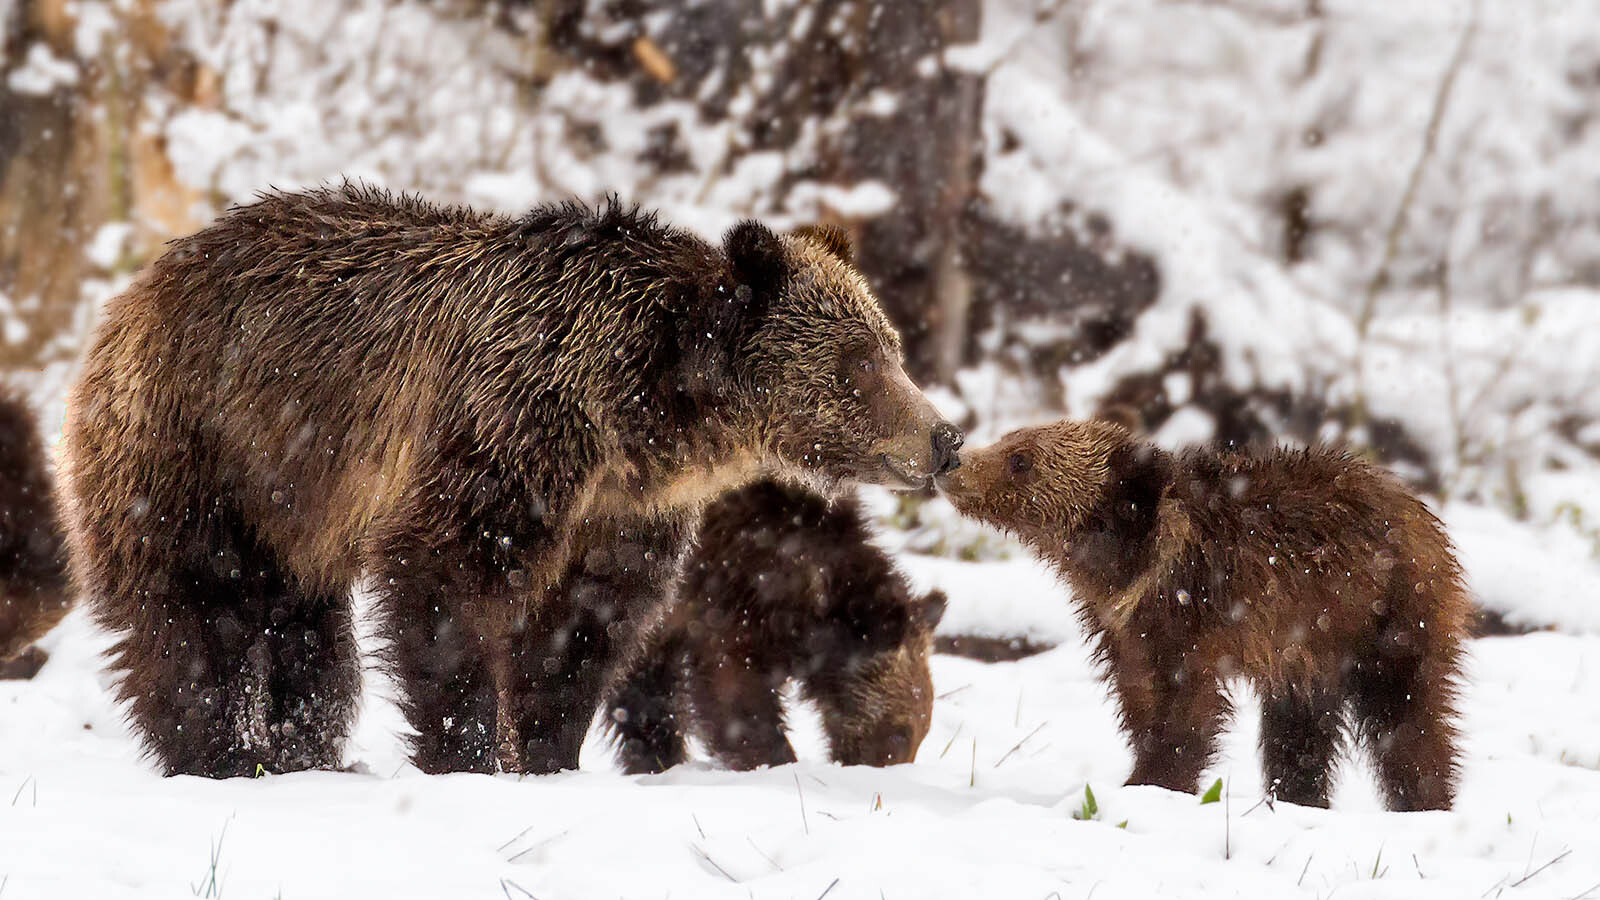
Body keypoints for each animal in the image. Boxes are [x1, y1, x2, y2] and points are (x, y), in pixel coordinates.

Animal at [604, 477, 940, 771]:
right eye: (900, 732)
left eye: (922, 732)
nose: (883, 770)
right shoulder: (729, 594)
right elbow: (733, 691)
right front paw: (776, 761)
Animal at [934, 416, 1472, 810]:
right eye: (1010, 441)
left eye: (1021, 459)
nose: (955, 461)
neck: (1127, 562)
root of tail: (1421, 509)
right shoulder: (1123, 627)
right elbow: (1139, 697)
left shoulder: (1196, 616)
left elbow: (1186, 709)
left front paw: (1154, 782)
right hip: (1312, 646)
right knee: (1299, 725)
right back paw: (1299, 797)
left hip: (1388, 614)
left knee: (1407, 712)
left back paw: (1425, 801)